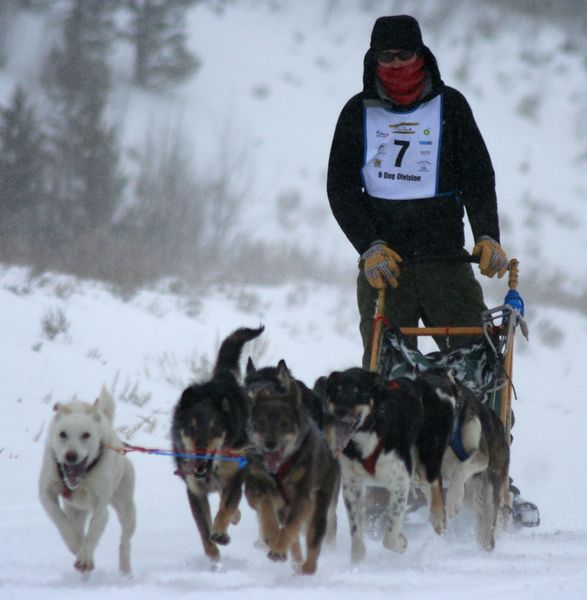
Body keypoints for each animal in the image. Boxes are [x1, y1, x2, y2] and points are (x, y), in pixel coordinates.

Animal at [39, 386, 136, 576]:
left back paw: (125, 570)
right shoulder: (46, 493)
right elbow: (61, 521)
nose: (70, 456)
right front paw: (75, 545)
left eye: (86, 435)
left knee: (125, 541)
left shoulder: (101, 507)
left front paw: (85, 558)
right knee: (75, 525)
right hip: (76, 510)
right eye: (62, 434)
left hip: (126, 508)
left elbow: (93, 533)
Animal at [169, 324, 262, 564]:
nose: (200, 456)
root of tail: (223, 377)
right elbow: (203, 527)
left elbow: (226, 506)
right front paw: (213, 555)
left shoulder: (235, 475)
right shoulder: (194, 490)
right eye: (191, 428)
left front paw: (220, 531)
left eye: (214, 429)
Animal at [246, 364, 340, 576]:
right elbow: (266, 510)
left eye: (284, 423)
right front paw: (271, 537)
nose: (270, 443)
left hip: (320, 506)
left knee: (313, 536)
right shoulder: (257, 489)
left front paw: (278, 549)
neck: (281, 469)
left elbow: (291, 527)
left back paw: (307, 567)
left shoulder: (302, 498)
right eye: (261, 422)